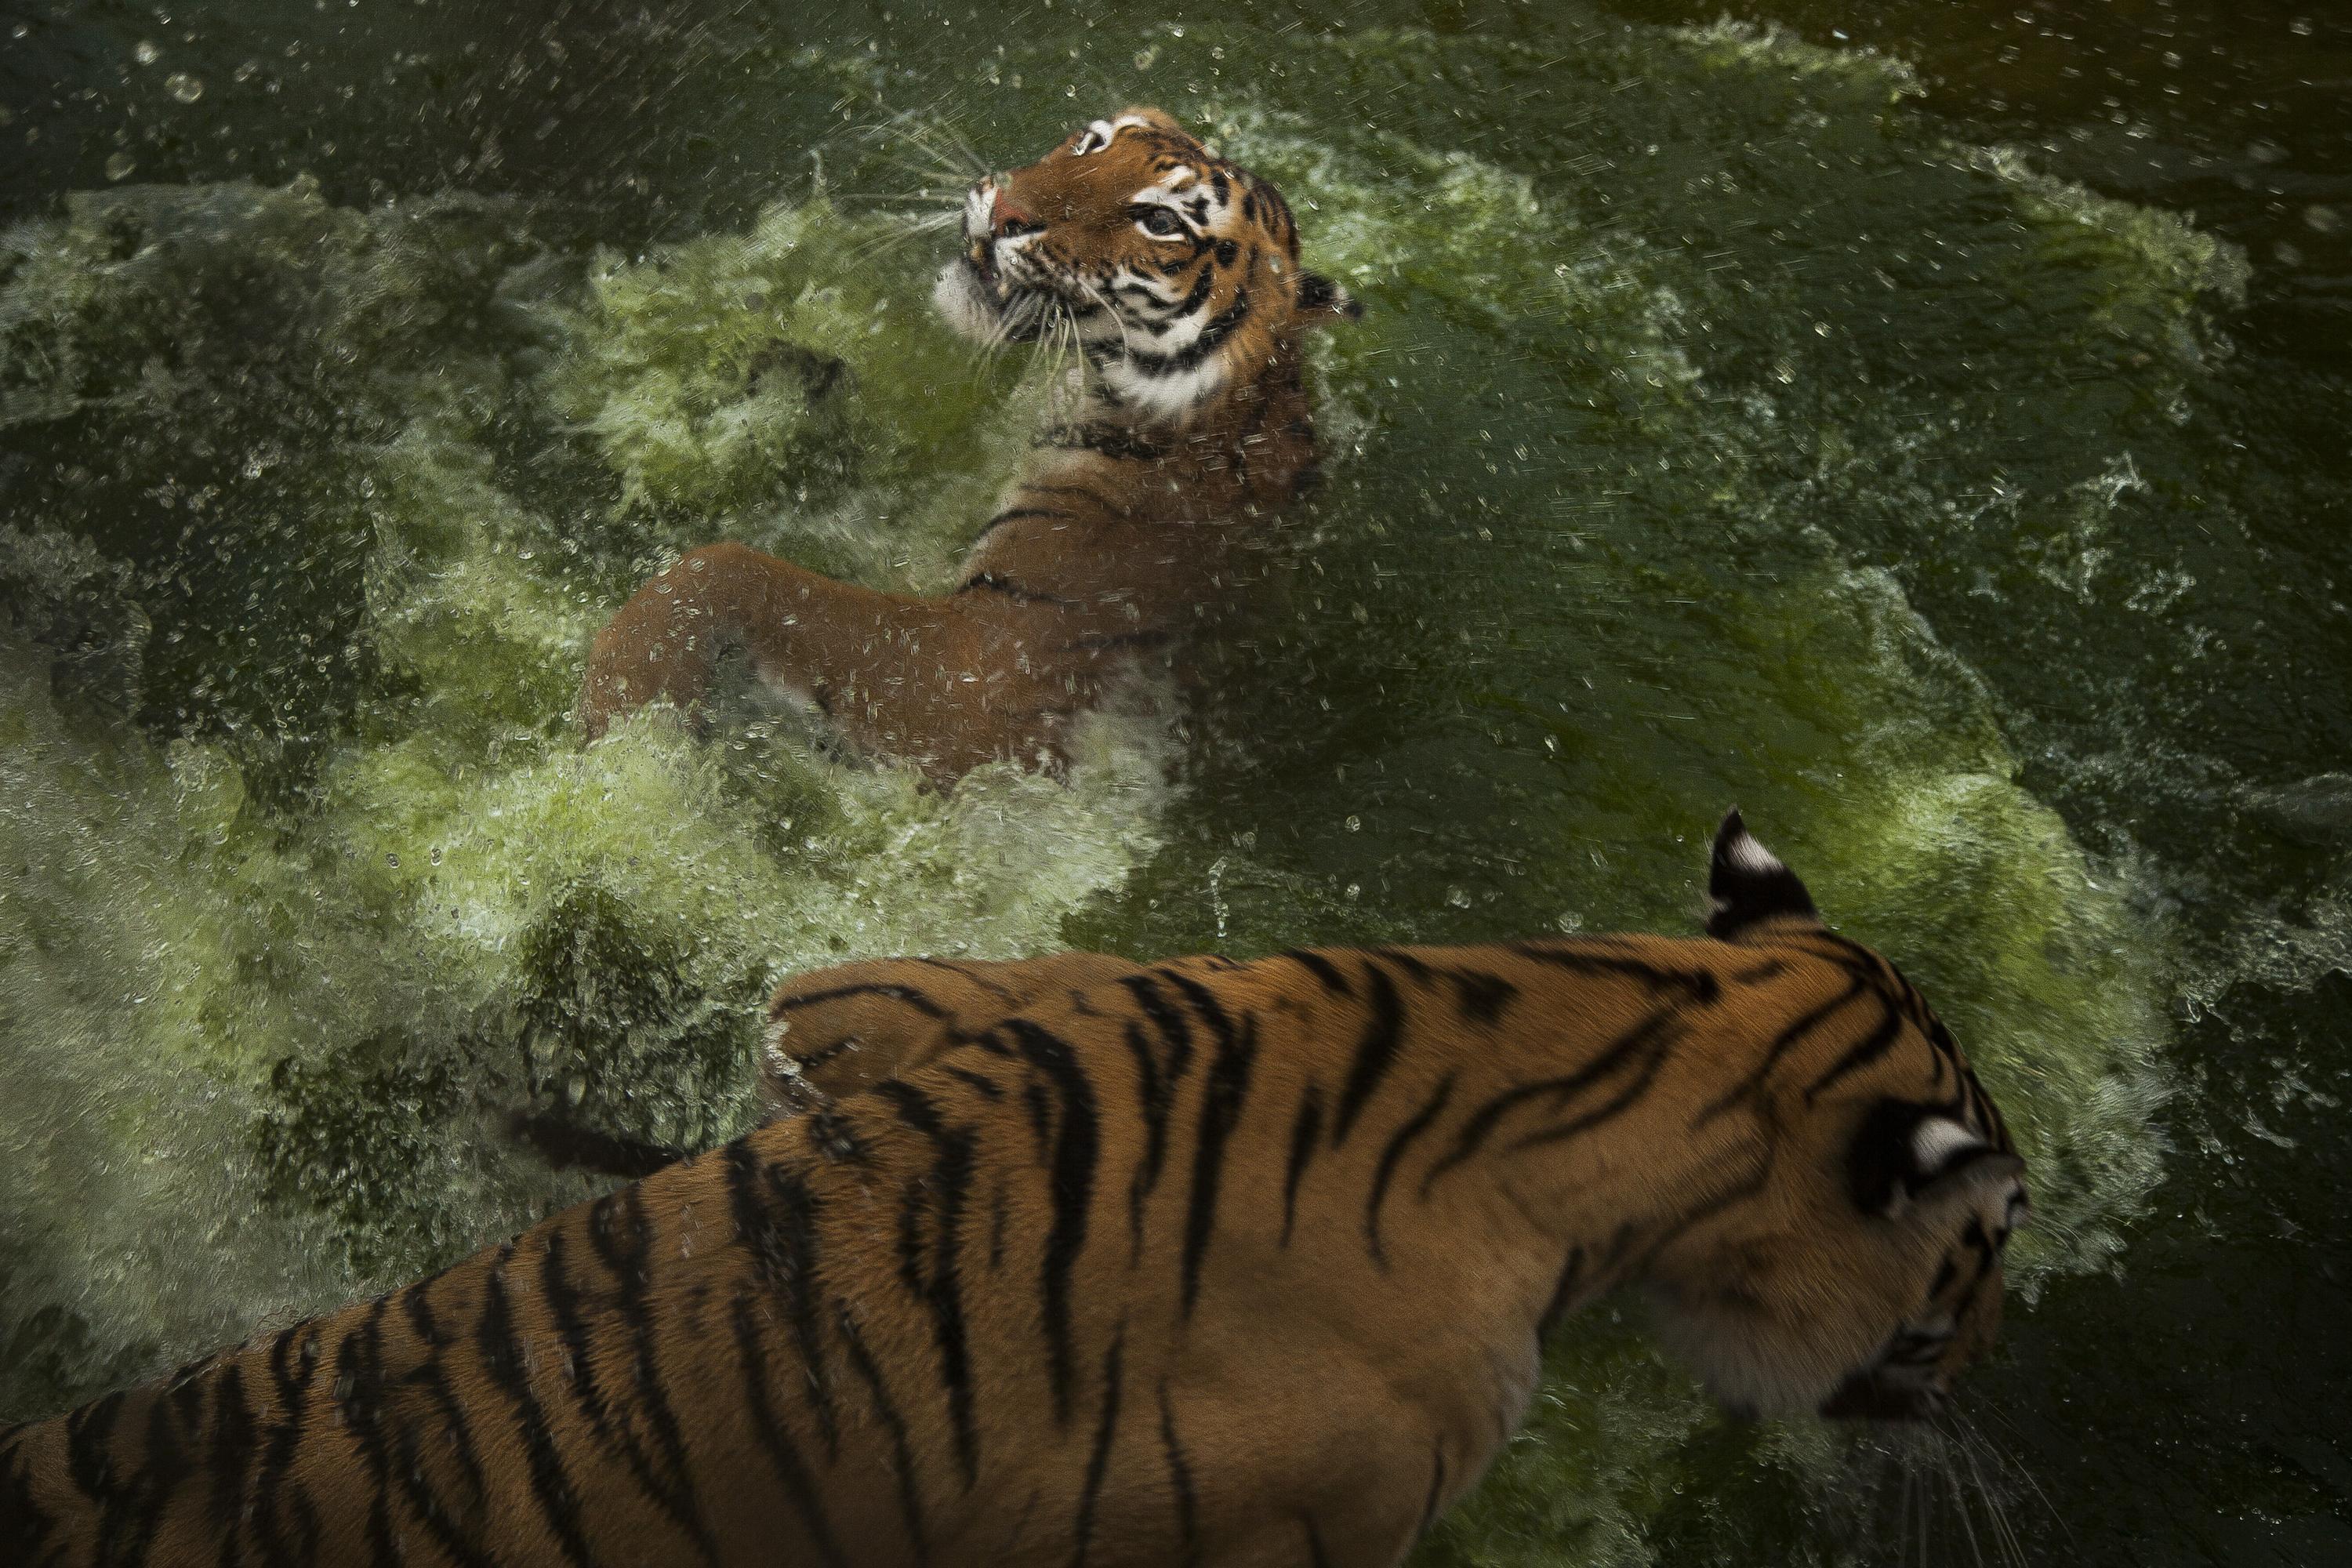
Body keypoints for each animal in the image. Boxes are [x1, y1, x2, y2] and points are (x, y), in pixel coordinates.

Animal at [567, 103, 1364, 780]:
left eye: (1160, 219)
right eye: (1091, 143)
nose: (1006, 211)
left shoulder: (982, 669)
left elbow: (731, 569)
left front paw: (623, 702)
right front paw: (775, 375)